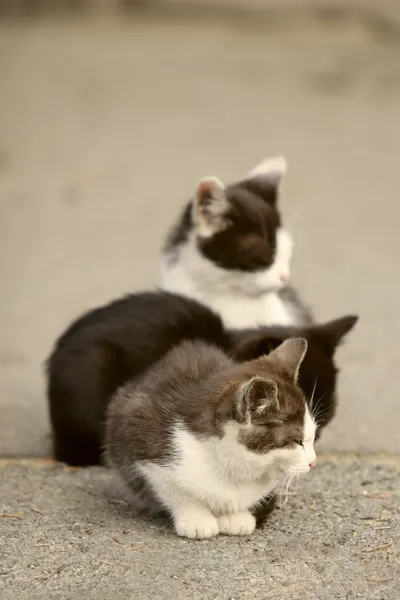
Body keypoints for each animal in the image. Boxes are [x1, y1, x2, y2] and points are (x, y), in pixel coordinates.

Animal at [104, 338, 318, 540]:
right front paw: (196, 518)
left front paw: (234, 516)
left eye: (312, 437)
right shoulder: (145, 444)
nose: (313, 462)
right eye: (297, 441)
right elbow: (175, 491)